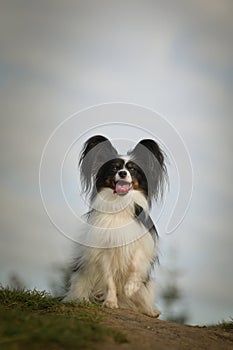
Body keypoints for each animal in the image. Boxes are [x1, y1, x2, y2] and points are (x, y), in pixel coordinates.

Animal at [62, 135, 167, 316]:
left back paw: (149, 311)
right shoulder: (104, 250)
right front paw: (110, 302)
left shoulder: (142, 242)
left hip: (146, 289)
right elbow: (109, 279)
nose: (123, 173)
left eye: (132, 170)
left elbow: (136, 263)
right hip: (83, 276)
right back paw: (83, 300)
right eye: (114, 168)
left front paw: (130, 287)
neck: (120, 204)